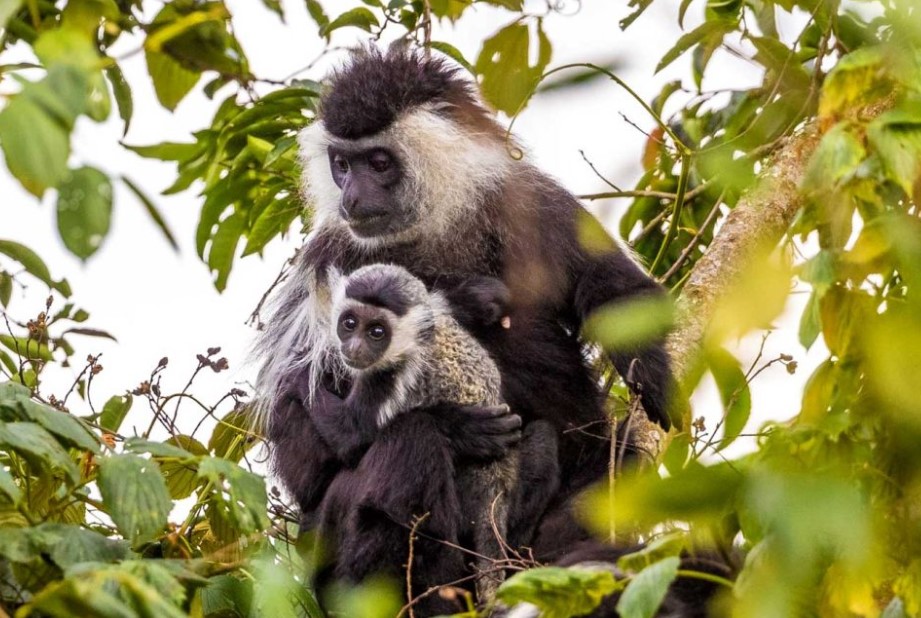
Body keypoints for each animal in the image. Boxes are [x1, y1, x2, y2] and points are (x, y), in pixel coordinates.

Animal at [253, 46, 680, 614]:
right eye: (341, 164)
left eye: (378, 162)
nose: (351, 198)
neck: (435, 228)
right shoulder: (328, 268)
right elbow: (307, 455)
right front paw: (458, 419)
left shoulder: (535, 204)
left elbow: (611, 288)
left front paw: (649, 369)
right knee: (405, 450)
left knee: (610, 470)